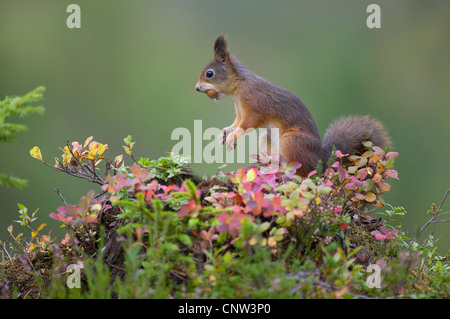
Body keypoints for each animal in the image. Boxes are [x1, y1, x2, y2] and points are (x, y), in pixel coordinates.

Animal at [194, 35, 390, 178]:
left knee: (304, 173)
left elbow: (247, 124)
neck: (238, 86)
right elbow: (236, 123)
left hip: (292, 141)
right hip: (268, 140)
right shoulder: (239, 111)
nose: (196, 88)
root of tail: (321, 160)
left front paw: (232, 138)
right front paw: (225, 132)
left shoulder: (254, 104)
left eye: (210, 74)